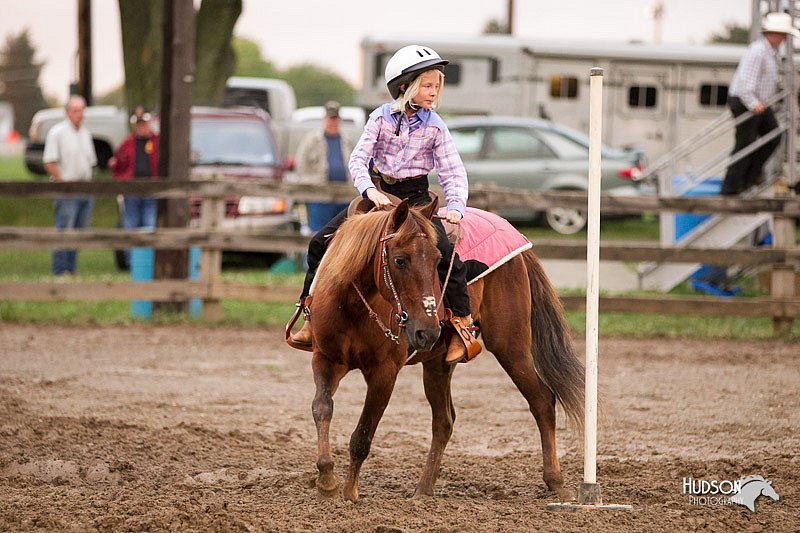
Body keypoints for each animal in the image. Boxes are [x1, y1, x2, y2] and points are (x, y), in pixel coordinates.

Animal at [304, 201, 580, 502]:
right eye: (399, 260)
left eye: (439, 261)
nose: (428, 330)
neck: (354, 305)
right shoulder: (326, 359)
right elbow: (322, 408)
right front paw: (326, 480)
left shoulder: (384, 373)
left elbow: (362, 434)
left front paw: (349, 494)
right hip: (438, 364)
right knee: (444, 421)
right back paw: (423, 490)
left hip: (511, 346)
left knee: (542, 401)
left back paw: (556, 482)